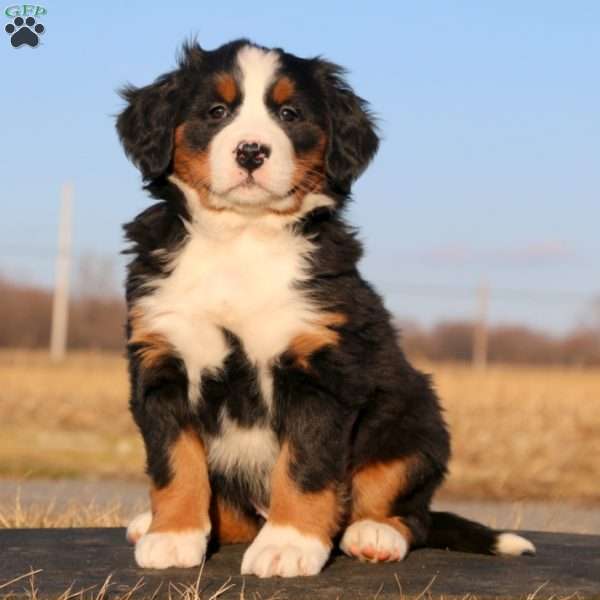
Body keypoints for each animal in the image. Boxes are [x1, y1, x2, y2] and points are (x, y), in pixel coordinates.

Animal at [117, 38, 536, 576]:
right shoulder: (163, 364)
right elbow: (175, 464)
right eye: (216, 112)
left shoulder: (320, 371)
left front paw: (288, 545)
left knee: (407, 510)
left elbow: (305, 466)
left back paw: (375, 534)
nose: (251, 150)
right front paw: (173, 535)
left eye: (289, 114)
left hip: (414, 421)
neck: (242, 238)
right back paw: (152, 524)